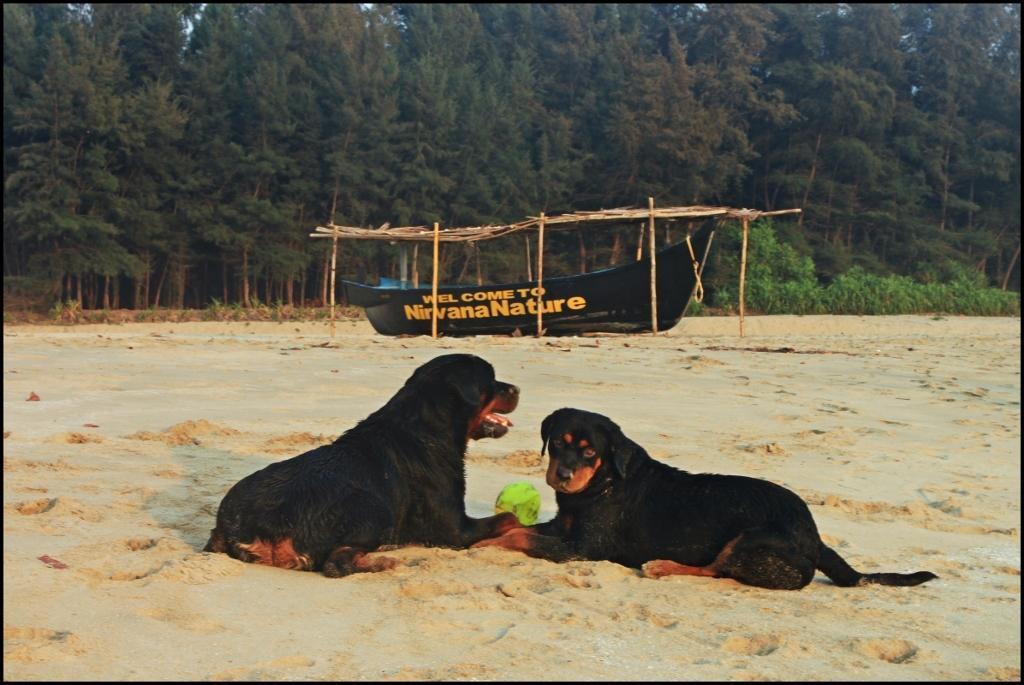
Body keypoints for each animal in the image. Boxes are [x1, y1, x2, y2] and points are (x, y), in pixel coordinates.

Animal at [208, 356, 528, 573]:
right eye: (492, 381)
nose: (517, 388)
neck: (427, 428)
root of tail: (253, 526)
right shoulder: (453, 530)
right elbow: (509, 517)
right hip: (374, 509)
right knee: (337, 564)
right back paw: (382, 561)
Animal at [473, 405, 937, 589]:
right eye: (557, 442)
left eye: (590, 452)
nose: (563, 475)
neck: (602, 484)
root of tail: (817, 538)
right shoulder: (562, 527)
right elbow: (518, 525)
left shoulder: (583, 548)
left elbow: (521, 536)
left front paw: (484, 543)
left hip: (751, 540)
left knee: (720, 570)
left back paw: (663, 566)